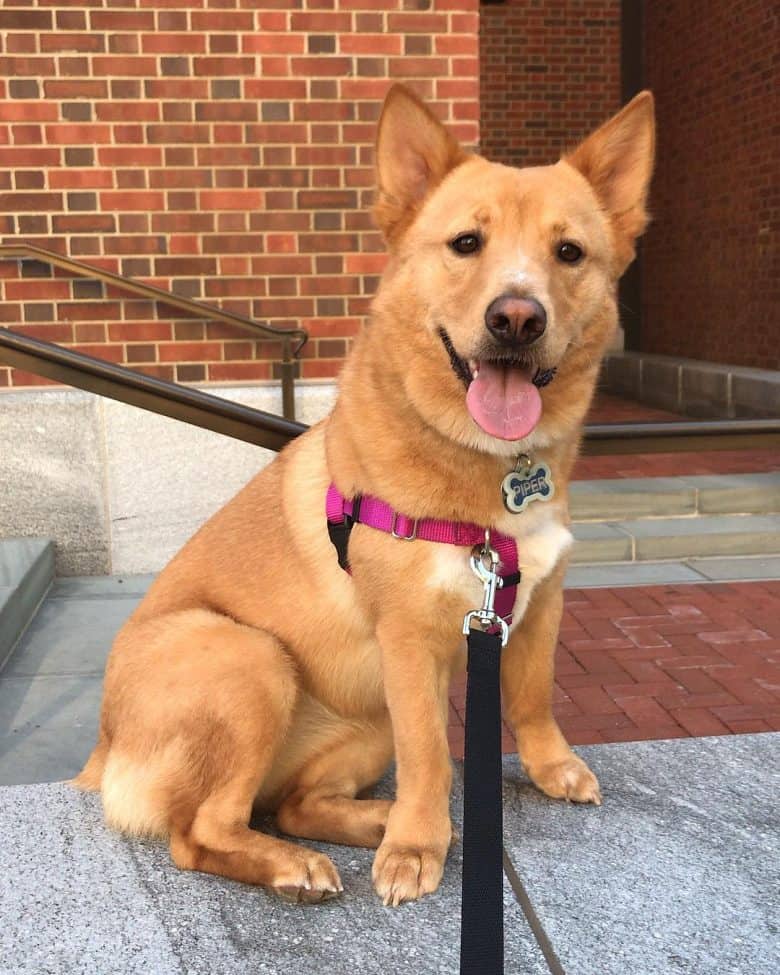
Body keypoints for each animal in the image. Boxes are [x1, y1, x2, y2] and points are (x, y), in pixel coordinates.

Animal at [76, 84, 656, 908]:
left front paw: (550, 767)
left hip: (361, 719)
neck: (489, 471)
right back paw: (305, 861)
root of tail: (103, 753)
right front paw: (417, 847)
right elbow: (430, 753)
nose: (517, 318)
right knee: (202, 832)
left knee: (292, 804)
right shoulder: (408, 643)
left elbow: (533, 696)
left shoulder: (541, 598)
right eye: (466, 243)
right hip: (251, 659)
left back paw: (370, 821)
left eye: (569, 253)